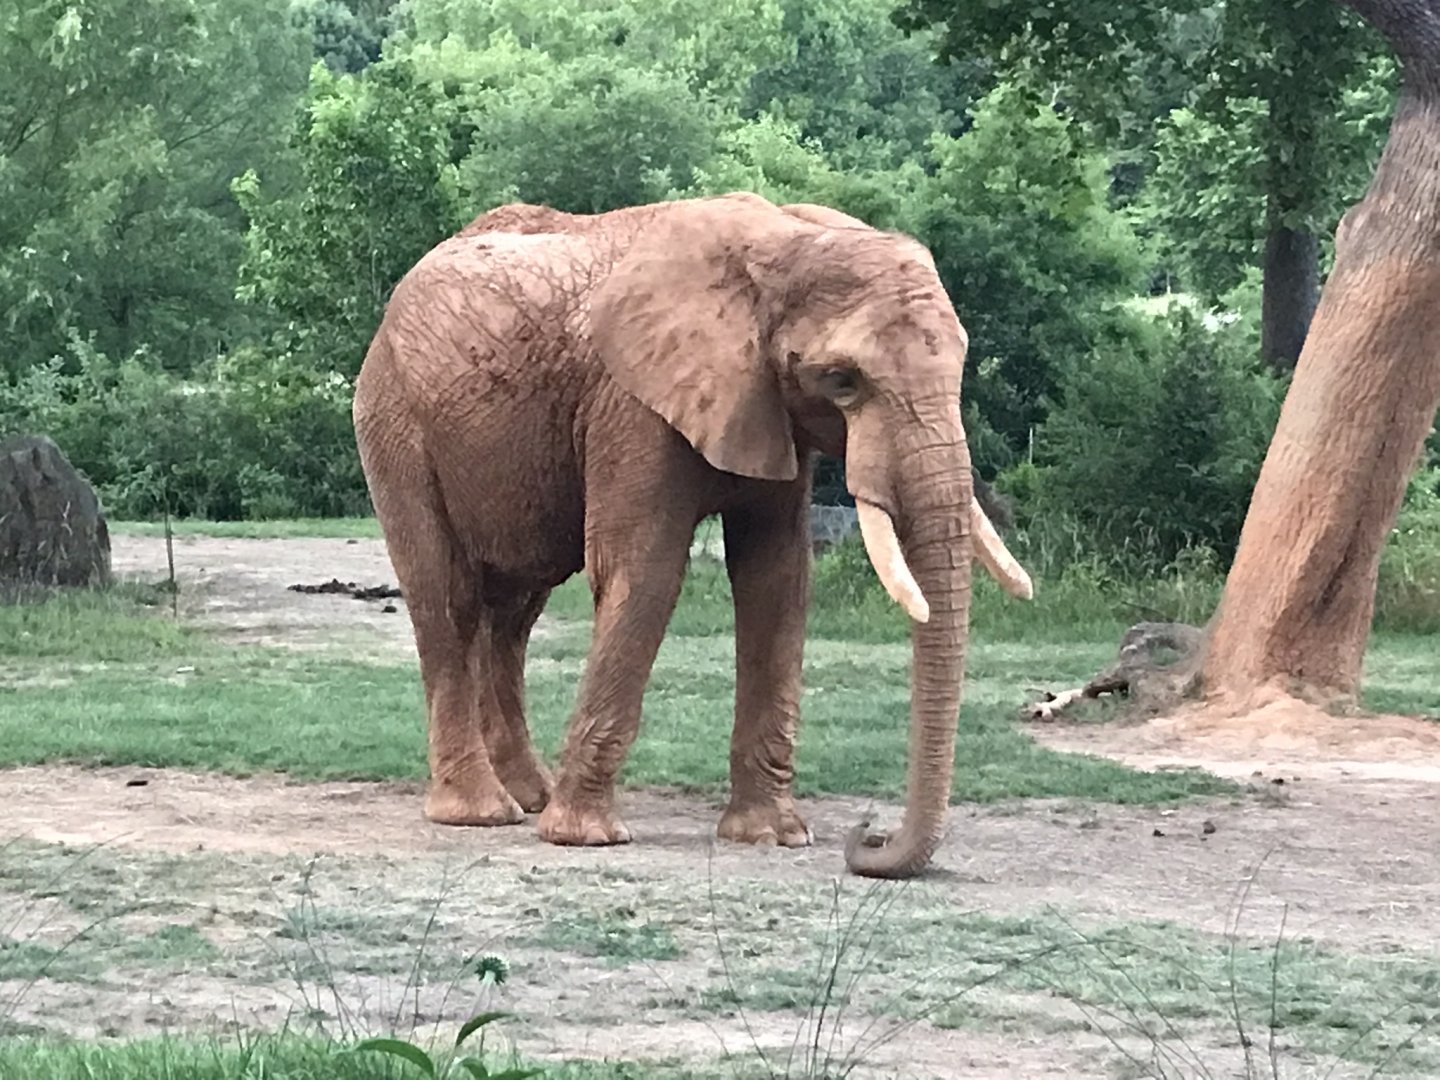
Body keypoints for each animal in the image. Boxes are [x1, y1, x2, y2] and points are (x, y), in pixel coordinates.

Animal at [352, 191, 1034, 879]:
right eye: (842, 380)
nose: (867, 835)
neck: (786, 242)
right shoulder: (631, 402)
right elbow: (645, 567)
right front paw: (586, 837)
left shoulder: (766, 407)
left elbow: (776, 578)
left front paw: (773, 837)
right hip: (393, 417)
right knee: (448, 597)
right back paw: (481, 813)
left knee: (515, 611)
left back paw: (528, 796)